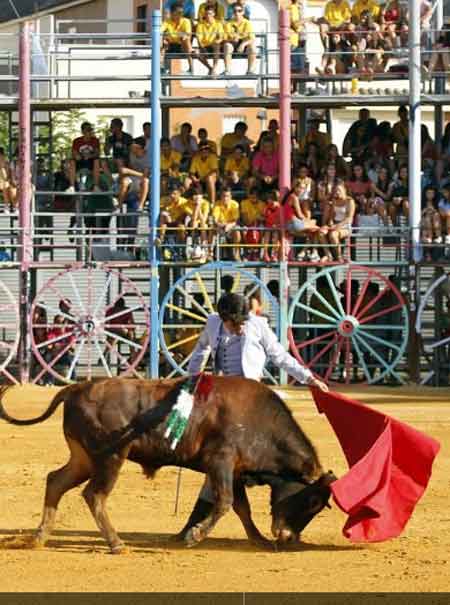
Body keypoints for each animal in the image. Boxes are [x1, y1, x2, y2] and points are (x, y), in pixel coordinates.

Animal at [0, 378, 330, 552]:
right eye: (313, 501)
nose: (289, 537)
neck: (261, 422)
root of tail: (77, 387)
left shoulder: (234, 470)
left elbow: (241, 507)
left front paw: (258, 539)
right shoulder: (221, 462)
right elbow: (224, 502)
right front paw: (195, 535)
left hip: (83, 459)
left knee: (55, 481)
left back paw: (39, 537)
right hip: (110, 458)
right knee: (94, 495)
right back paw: (116, 543)